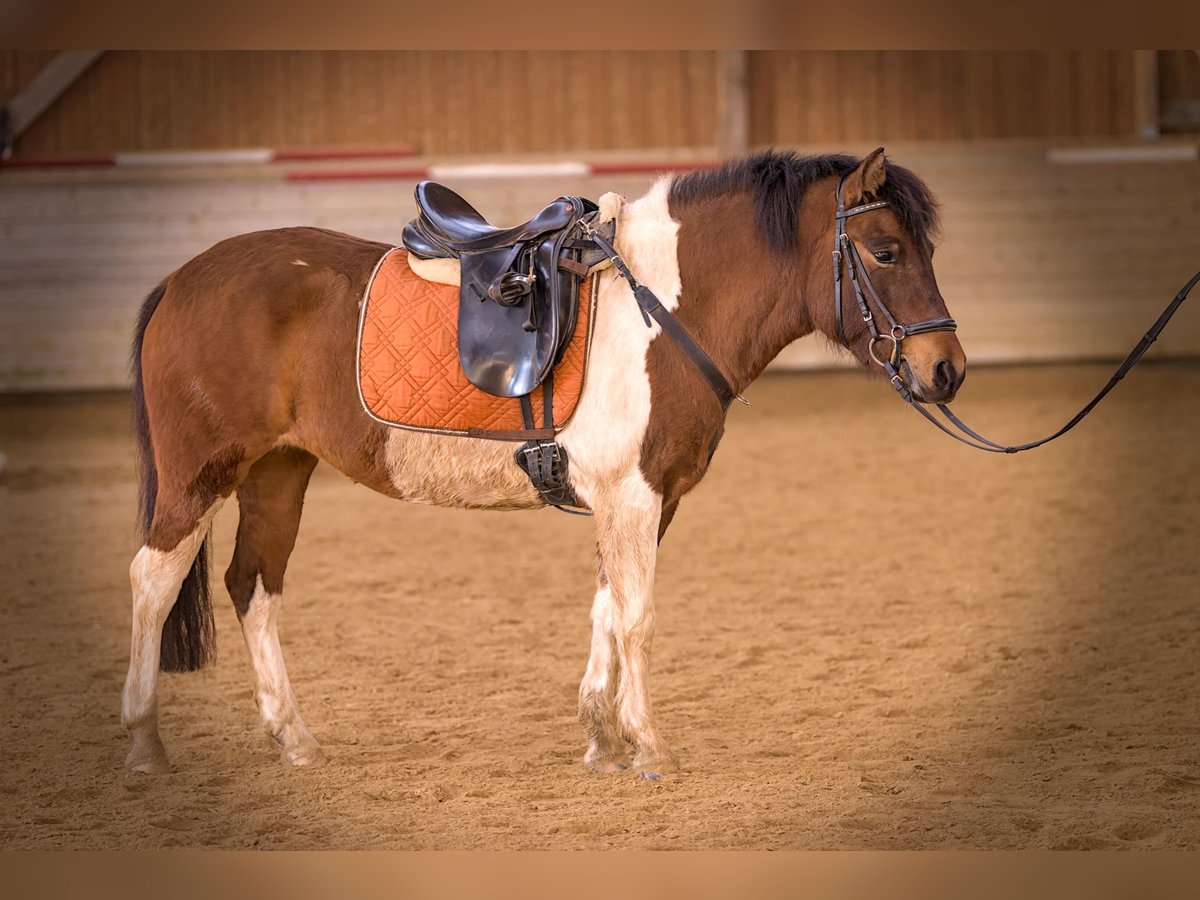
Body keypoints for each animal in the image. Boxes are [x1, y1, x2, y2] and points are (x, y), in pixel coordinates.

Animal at [124, 148, 964, 777]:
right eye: (886, 251)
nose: (947, 370)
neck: (662, 310)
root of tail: (181, 281)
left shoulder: (640, 500)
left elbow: (607, 608)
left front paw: (602, 738)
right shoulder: (635, 495)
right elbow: (638, 618)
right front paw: (649, 747)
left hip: (278, 470)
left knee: (253, 586)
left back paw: (293, 739)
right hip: (202, 473)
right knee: (154, 581)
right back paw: (145, 743)